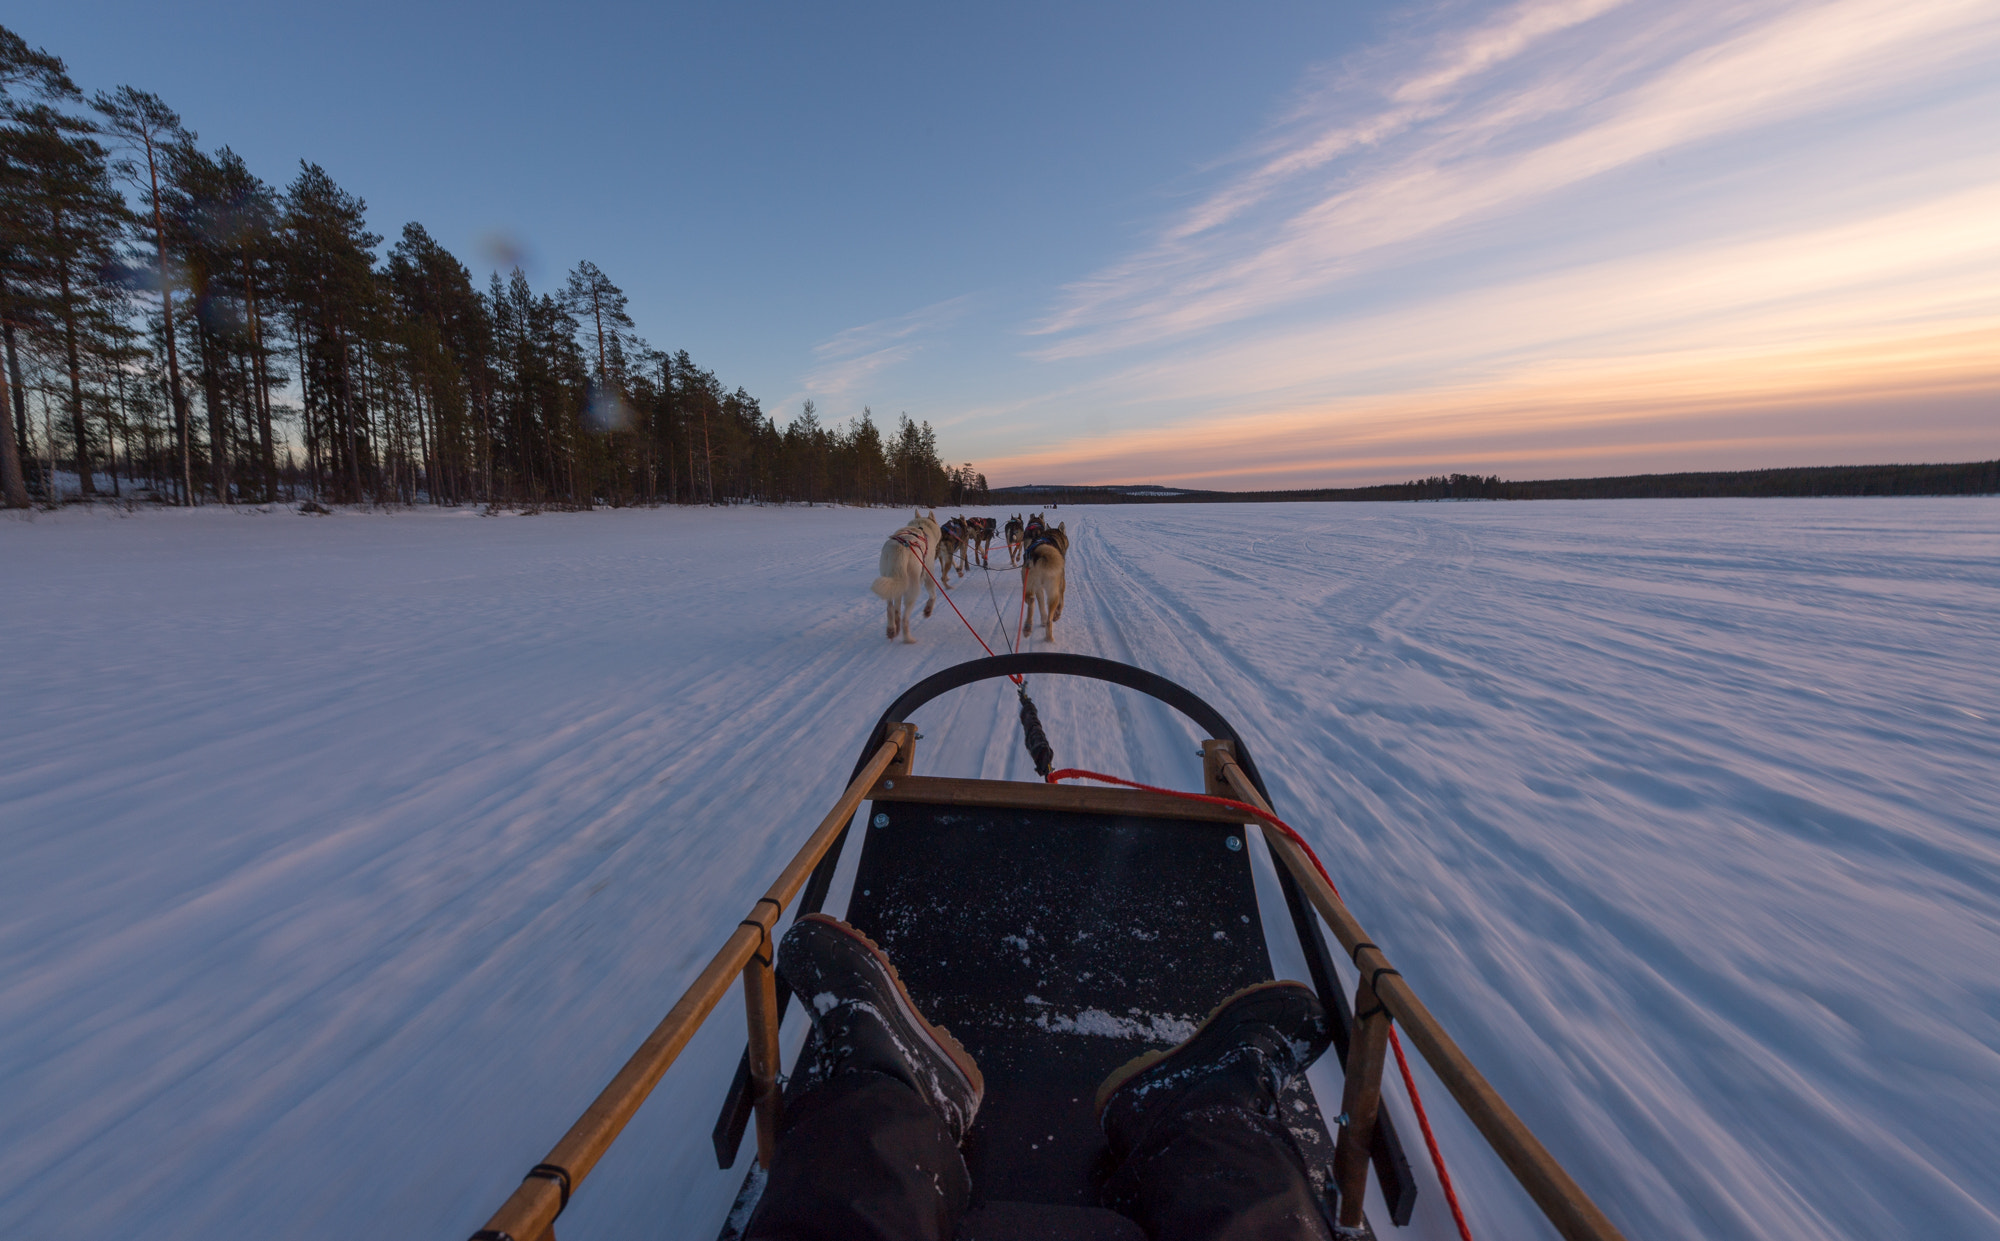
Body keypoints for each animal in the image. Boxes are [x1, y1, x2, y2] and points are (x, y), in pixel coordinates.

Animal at [872, 508, 940, 644]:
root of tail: (900, 550)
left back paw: (892, 629)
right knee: (905, 618)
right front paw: (928, 610)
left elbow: (896, 609)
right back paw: (908, 638)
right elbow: (933, 594)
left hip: (891, 580)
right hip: (913, 588)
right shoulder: (929, 571)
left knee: (890, 608)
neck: (921, 528)